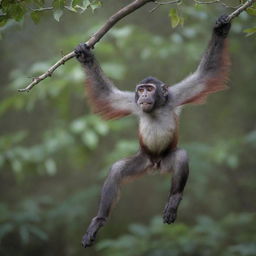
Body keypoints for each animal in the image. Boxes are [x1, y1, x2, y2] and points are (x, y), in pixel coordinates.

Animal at [74, 15, 232, 247]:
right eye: (140, 90)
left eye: (150, 89)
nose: (144, 96)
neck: (156, 107)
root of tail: (155, 164)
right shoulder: (131, 102)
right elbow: (106, 95)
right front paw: (86, 58)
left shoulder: (175, 96)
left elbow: (206, 74)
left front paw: (220, 30)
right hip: (143, 159)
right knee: (117, 170)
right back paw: (99, 220)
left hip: (165, 159)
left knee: (180, 156)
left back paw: (174, 199)